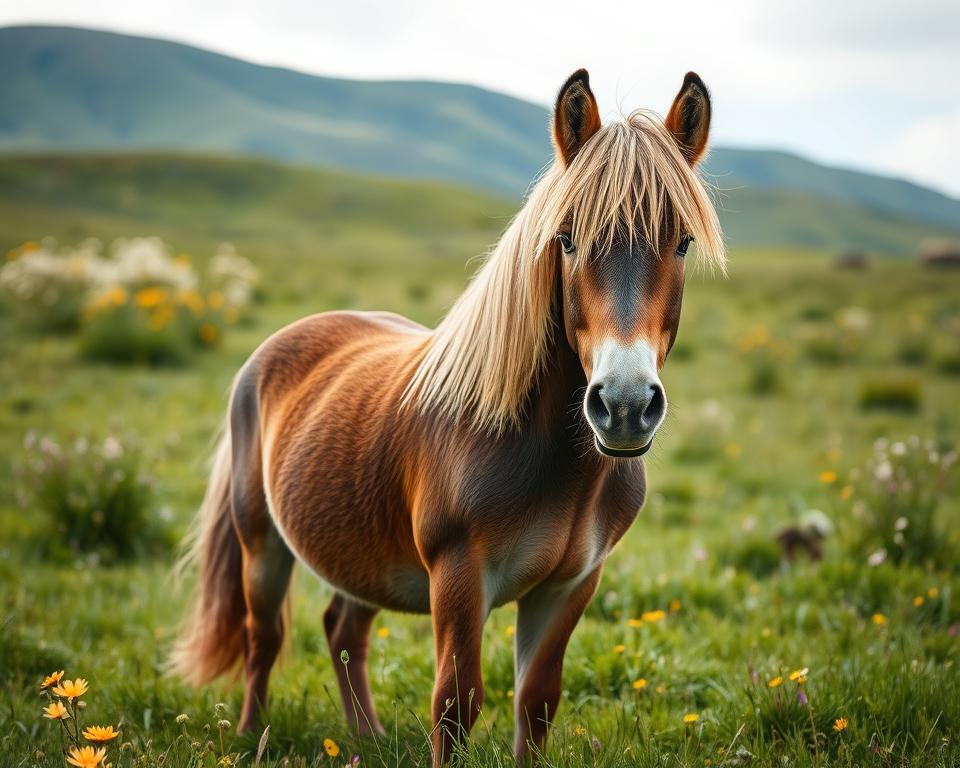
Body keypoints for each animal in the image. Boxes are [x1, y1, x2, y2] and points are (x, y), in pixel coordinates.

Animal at [172, 68, 725, 765]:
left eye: (680, 243)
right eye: (567, 239)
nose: (624, 405)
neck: (550, 461)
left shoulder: (570, 584)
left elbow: (536, 701)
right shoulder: (459, 577)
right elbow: (456, 704)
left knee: (343, 629)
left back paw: (367, 736)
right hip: (261, 541)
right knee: (262, 635)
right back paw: (251, 736)